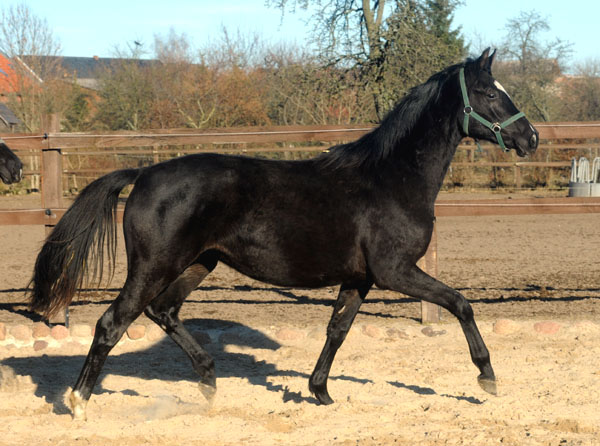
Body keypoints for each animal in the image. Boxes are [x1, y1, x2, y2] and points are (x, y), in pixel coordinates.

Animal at [29, 49, 540, 422]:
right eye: (487, 92)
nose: (531, 138)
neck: (391, 178)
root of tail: (144, 172)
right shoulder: (395, 271)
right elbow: (460, 303)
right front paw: (487, 377)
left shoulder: (360, 278)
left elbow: (338, 330)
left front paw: (321, 393)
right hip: (154, 265)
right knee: (113, 323)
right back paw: (79, 403)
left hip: (198, 263)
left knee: (163, 311)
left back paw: (209, 382)